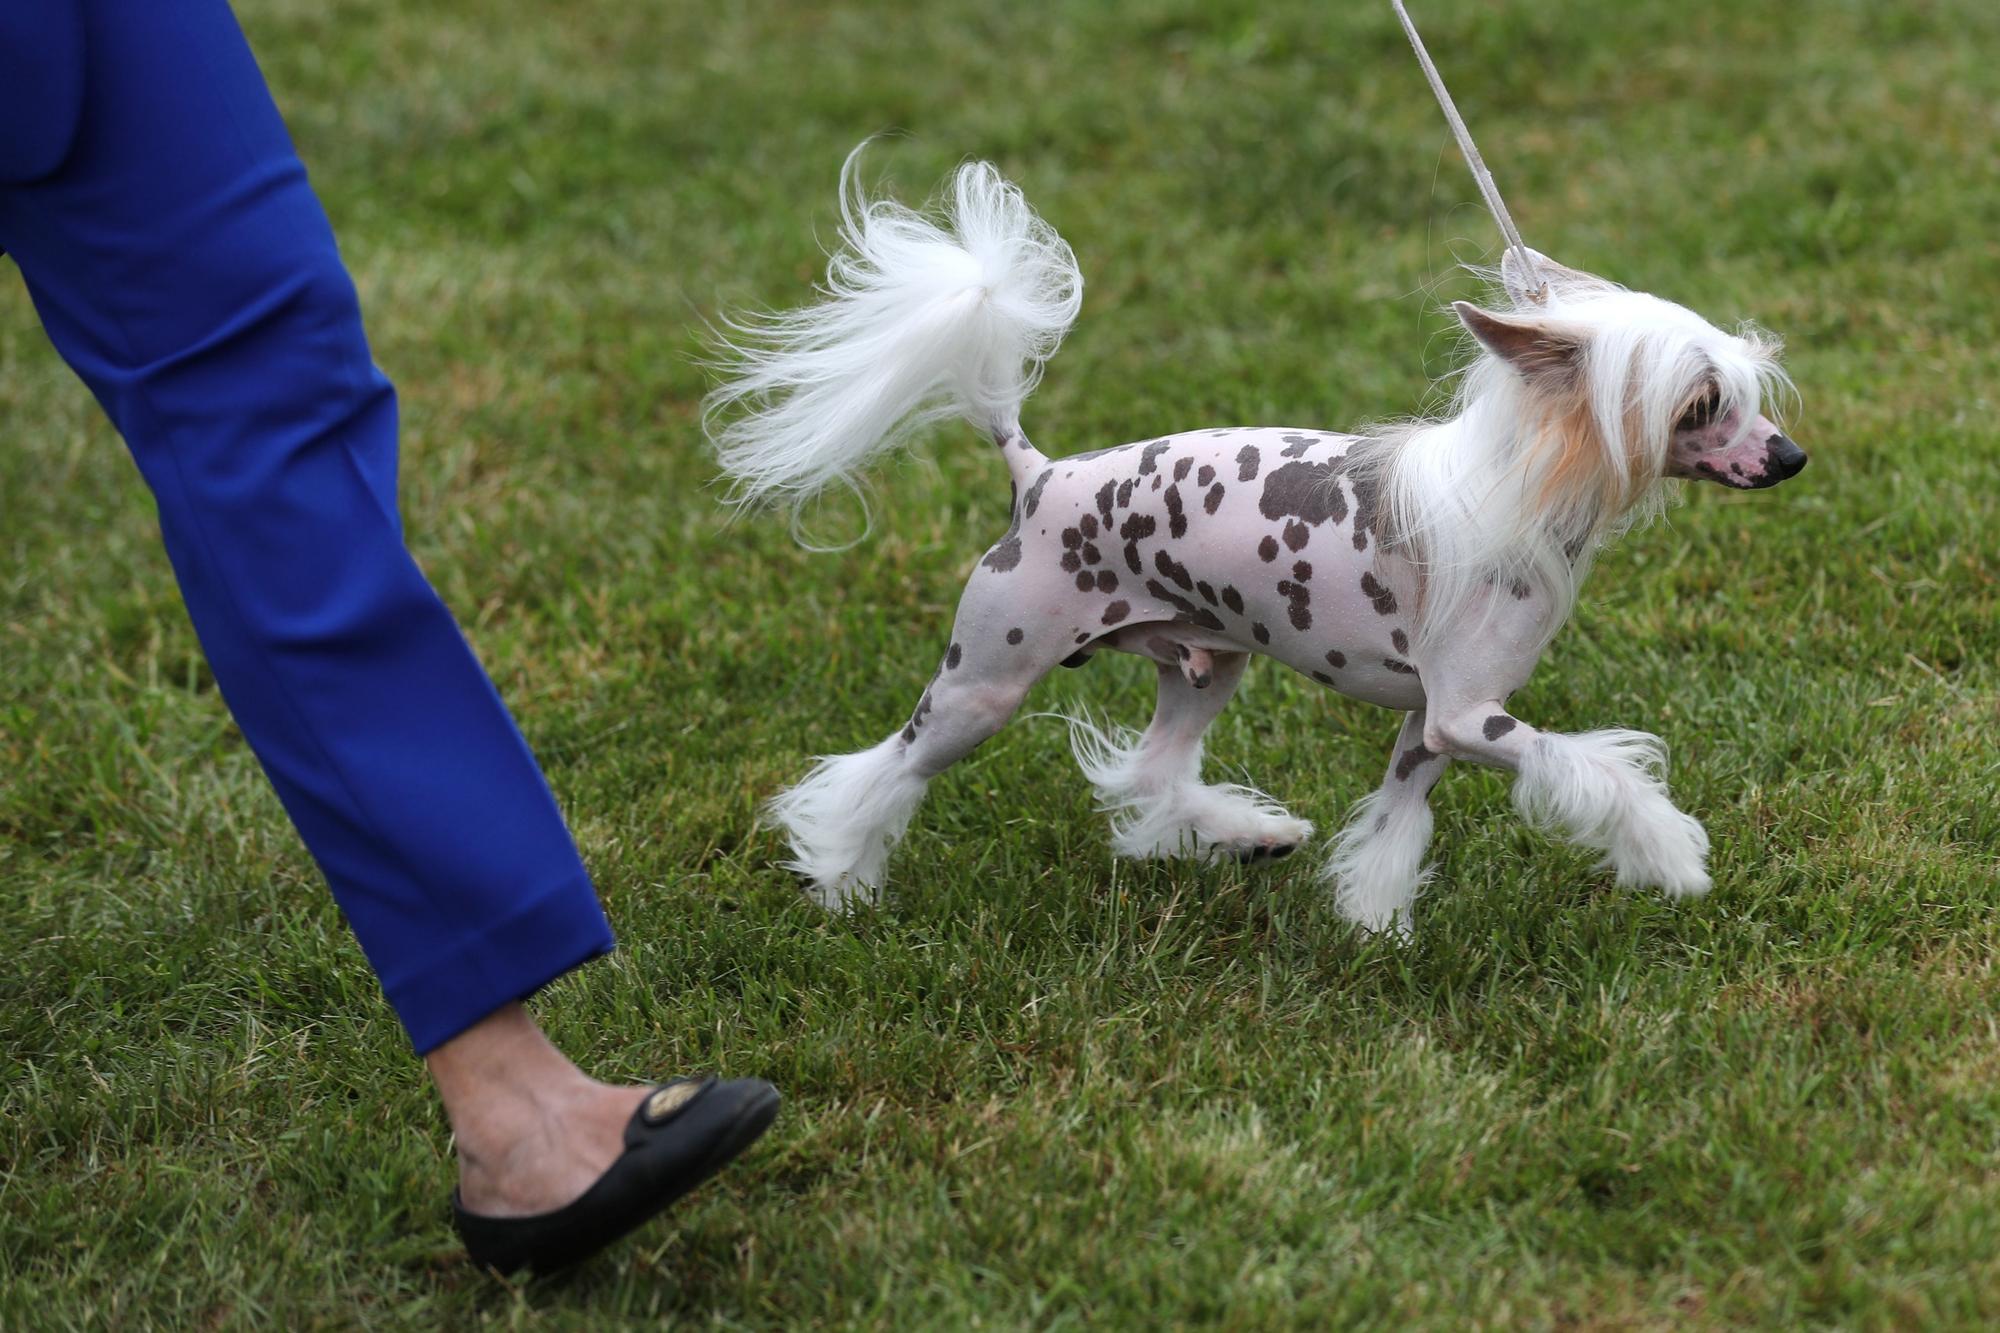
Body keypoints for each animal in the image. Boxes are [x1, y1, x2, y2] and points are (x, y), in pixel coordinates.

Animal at [712, 150, 1808, 928]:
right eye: (1701, 405)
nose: (1791, 458)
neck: (1521, 492)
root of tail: (1040, 474)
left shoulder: (1430, 724)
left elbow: (1395, 822)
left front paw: (1371, 923)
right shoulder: (1471, 716)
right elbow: (1596, 771)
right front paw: (1669, 854)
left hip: (1206, 662)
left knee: (1152, 771)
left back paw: (1250, 835)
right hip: (983, 683)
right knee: (883, 771)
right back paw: (840, 878)